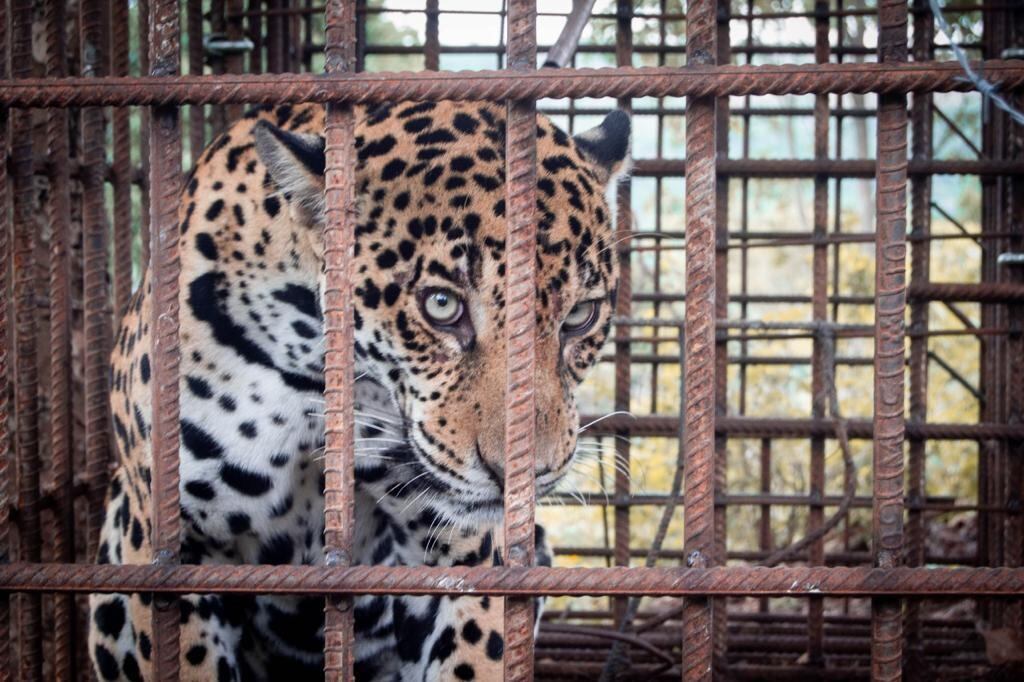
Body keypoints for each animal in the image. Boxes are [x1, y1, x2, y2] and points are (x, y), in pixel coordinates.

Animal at [87, 99, 630, 681]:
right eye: (442, 305)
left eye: (580, 315)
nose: (524, 478)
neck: (313, 374)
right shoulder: (176, 554)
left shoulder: (469, 556)